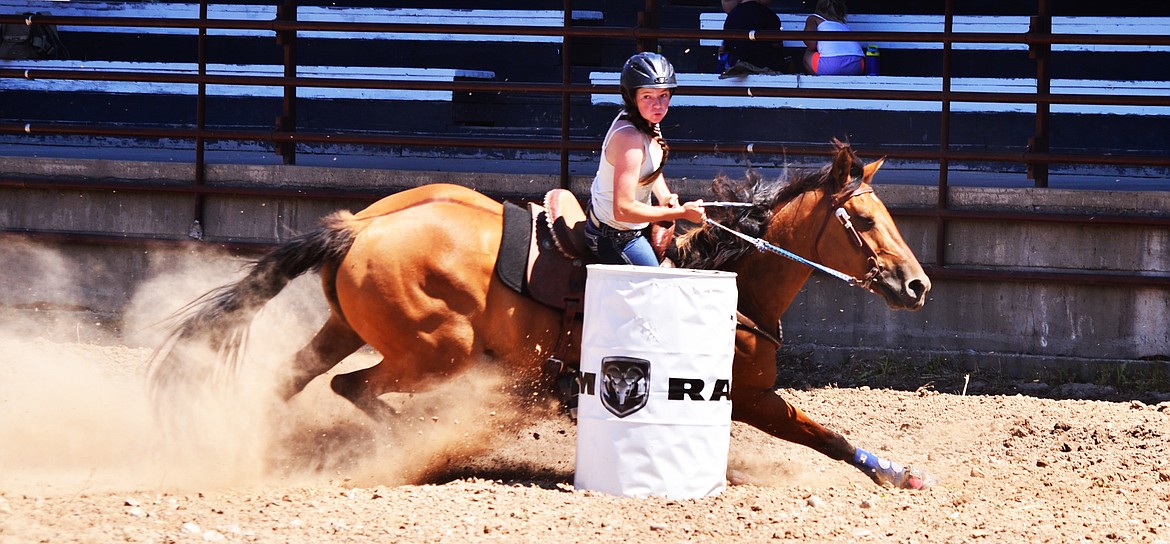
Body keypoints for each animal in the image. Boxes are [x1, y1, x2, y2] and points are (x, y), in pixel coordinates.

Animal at [148, 138, 931, 486]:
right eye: (864, 219)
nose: (919, 286)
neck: (728, 269)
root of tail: (360, 228)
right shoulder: (755, 397)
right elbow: (823, 432)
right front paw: (895, 473)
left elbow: (823, 432)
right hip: (437, 351)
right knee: (355, 388)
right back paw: (422, 444)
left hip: (345, 328)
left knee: (295, 379)